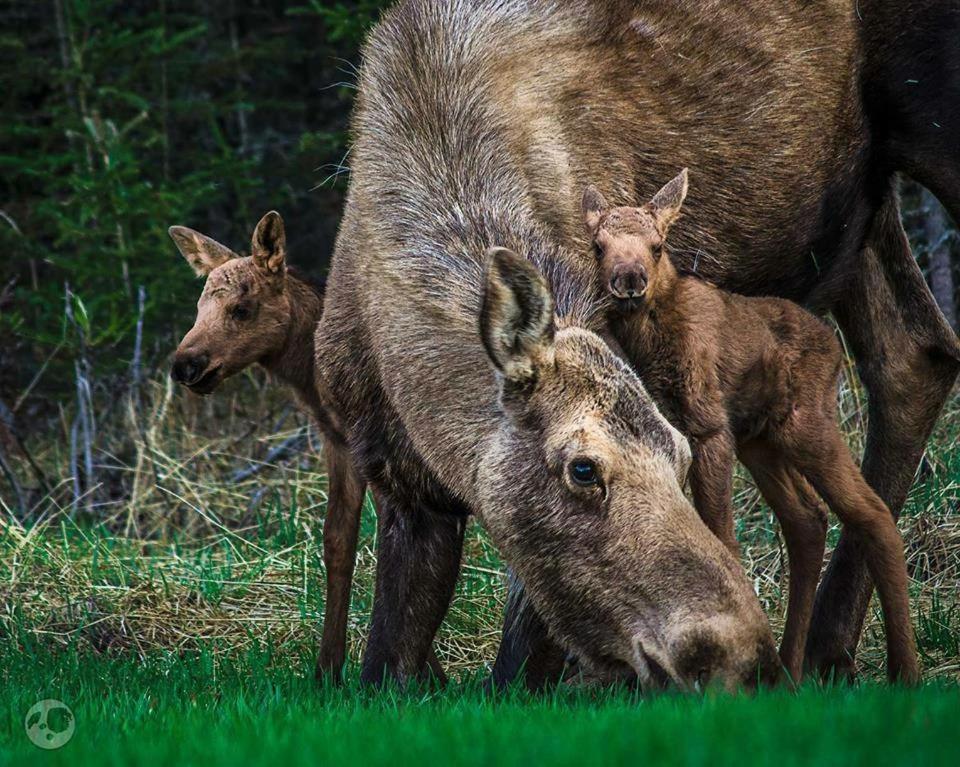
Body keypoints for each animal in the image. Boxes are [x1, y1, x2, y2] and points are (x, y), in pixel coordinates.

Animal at [580, 172, 920, 684]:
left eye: (657, 246)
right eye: (599, 246)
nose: (629, 280)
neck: (652, 345)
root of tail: (833, 344)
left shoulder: (709, 428)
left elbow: (722, 534)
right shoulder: (680, 431)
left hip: (806, 423)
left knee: (872, 513)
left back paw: (905, 670)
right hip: (761, 441)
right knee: (808, 518)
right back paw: (790, 670)